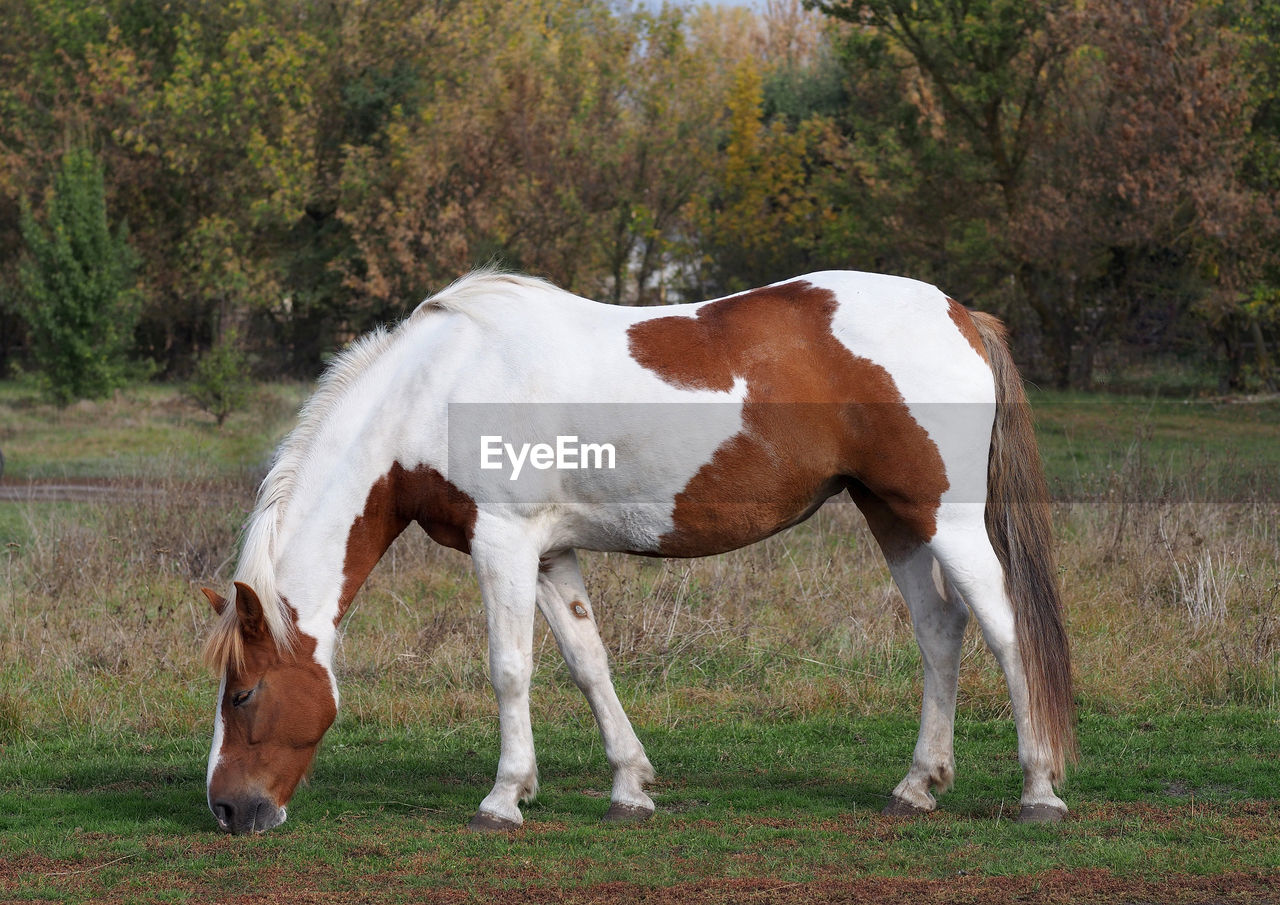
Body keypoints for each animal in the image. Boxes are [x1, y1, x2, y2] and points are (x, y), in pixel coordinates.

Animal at [202, 268, 1080, 834]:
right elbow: (588, 662)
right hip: (895, 515)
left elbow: (510, 668)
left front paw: (502, 798)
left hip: (949, 517)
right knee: (939, 630)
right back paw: (918, 784)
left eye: (241, 694)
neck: (435, 388)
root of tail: (961, 314)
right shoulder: (549, 553)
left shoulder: (503, 543)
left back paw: (1038, 789)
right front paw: (629, 787)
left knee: (1007, 632)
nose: (226, 809)